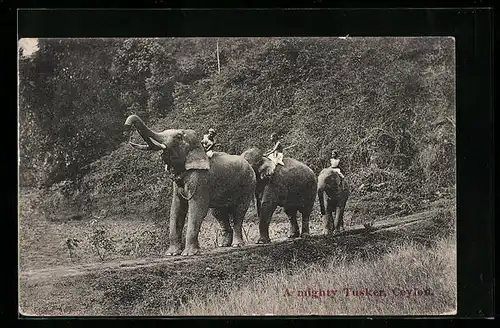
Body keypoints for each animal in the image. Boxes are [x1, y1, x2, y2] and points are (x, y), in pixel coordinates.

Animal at [124, 115, 256, 256]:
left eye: (178, 136)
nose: (126, 125)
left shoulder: (201, 179)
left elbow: (197, 209)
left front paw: (189, 253)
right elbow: (176, 209)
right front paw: (171, 254)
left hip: (248, 185)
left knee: (239, 212)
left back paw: (237, 245)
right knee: (218, 212)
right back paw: (224, 245)